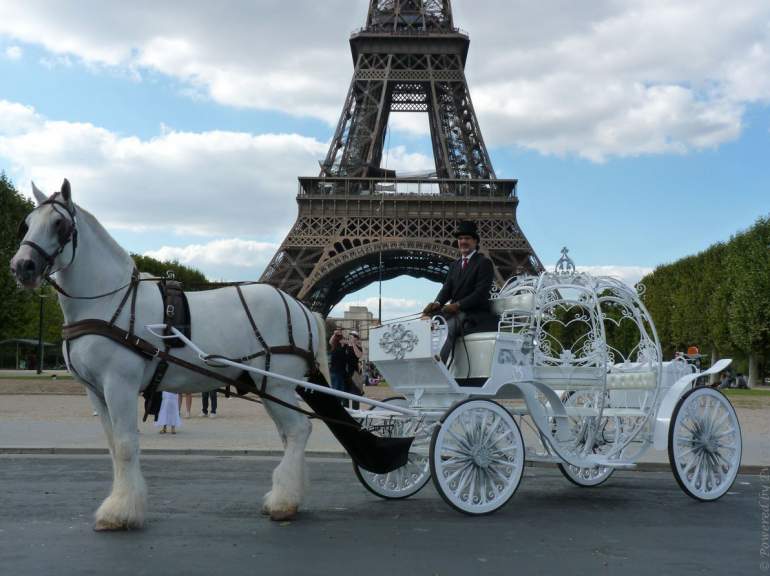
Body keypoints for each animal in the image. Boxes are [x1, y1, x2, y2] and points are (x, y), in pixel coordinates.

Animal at [9, 179, 331, 530]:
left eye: (60, 224)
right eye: (27, 223)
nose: (22, 266)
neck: (107, 301)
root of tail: (301, 306)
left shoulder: (119, 384)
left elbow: (126, 445)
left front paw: (120, 511)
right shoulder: (95, 391)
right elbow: (112, 446)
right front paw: (122, 503)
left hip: (276, 384)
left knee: (299, 430)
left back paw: (283, 502)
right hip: (268, 387)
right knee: (289, 434)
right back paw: (290, 496)